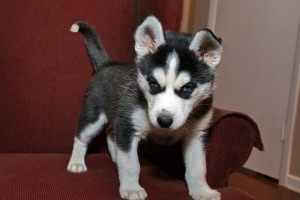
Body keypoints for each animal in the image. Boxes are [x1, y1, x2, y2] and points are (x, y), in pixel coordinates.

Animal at [68, 16, 223, 200]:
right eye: (153, 83)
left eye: (187, 88)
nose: (164, 120)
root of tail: (108, 64)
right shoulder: (128, 128)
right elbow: (131, 163)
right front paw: (131, 188)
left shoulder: (197, 136)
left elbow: (198, 167)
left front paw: (202, 191)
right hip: (93, 117)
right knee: (81, 137)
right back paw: (76, 162)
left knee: (111, 132)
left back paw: (116, 156)